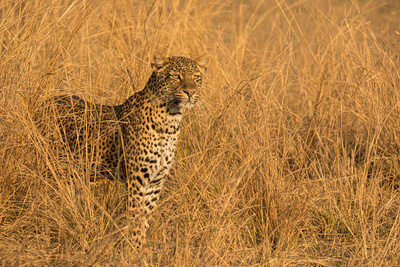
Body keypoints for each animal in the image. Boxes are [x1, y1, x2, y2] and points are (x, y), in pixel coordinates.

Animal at [43, 51, 211, 249]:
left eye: (196, 77)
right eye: (176, 76)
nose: (190, 92)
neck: (171, 120)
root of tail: (44, 102)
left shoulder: (155, 183)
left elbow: (145, 219)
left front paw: (140, 248)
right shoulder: (137, 181)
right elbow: (135, 217)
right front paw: (133, 248)